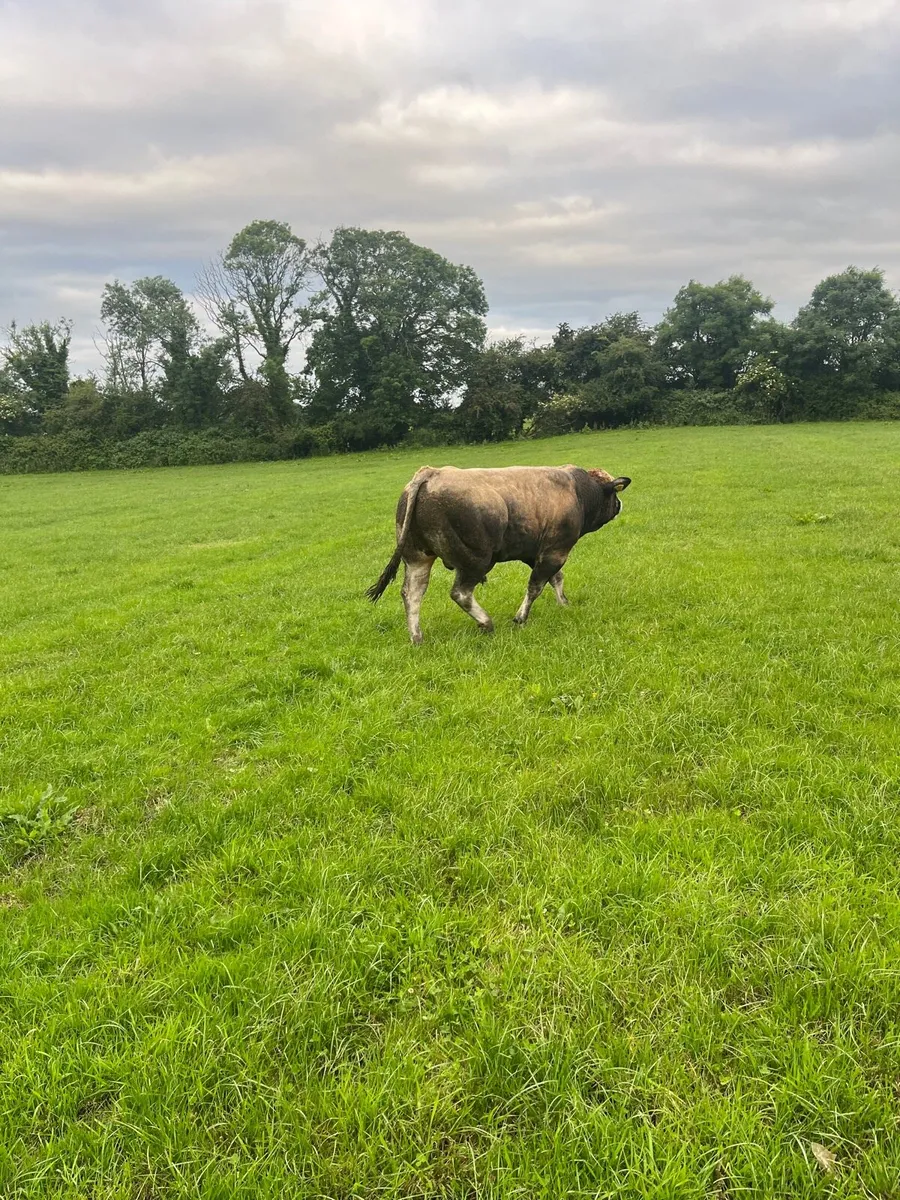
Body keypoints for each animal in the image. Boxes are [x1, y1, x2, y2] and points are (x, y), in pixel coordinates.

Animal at [366, 464, 631, 643]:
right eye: (614, 493)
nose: (620, 506)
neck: (579, 492)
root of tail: (432, 473)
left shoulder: (534, 552)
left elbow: (556, 579)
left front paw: (563, 604)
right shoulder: (555, 551)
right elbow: (536, 586)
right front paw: (521, 618)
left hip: (417, 557)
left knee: (412, 593)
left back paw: (417, 637)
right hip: (476, 560)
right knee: (460, 593)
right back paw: (485, 622)